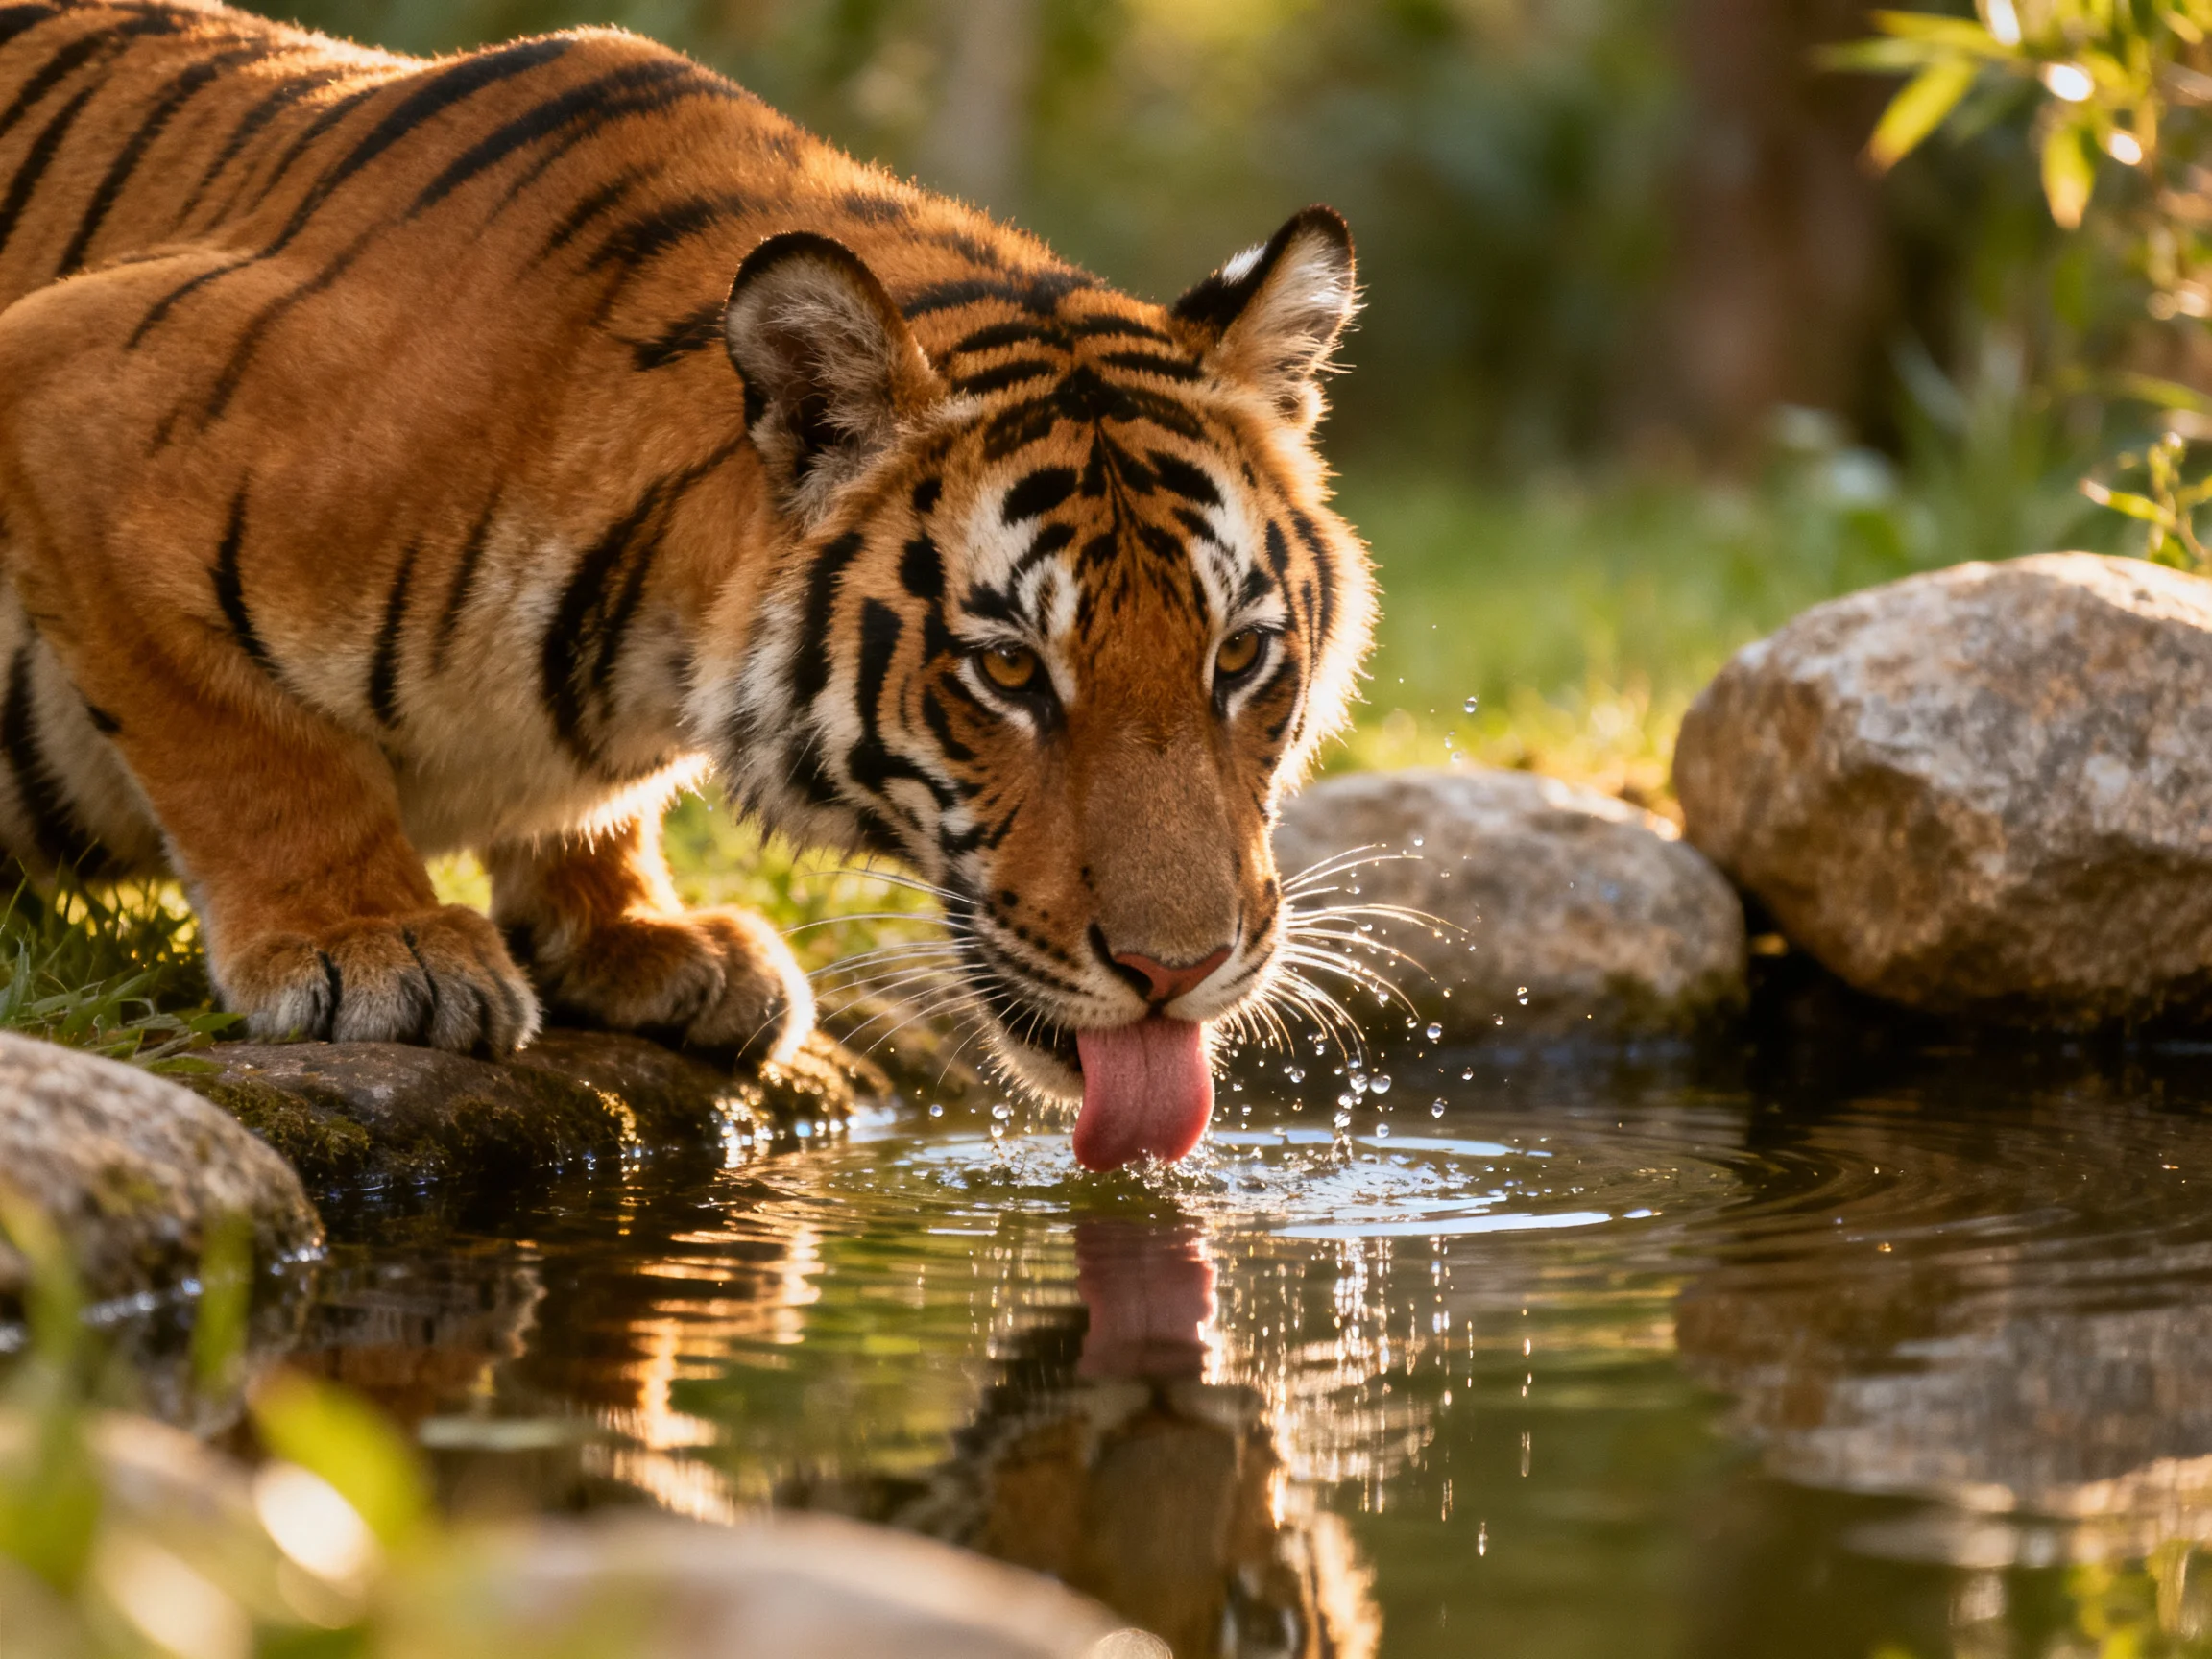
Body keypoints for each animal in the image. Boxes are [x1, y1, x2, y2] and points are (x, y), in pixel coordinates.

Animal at [0, 0, 1374, 1168]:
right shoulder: (69, 390)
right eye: (1007, 670)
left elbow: (583, 816)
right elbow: (253, 753)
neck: (646, 656)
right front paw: (368, 946)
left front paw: (640, 936)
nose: (1177, 972)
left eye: (1238, 656)